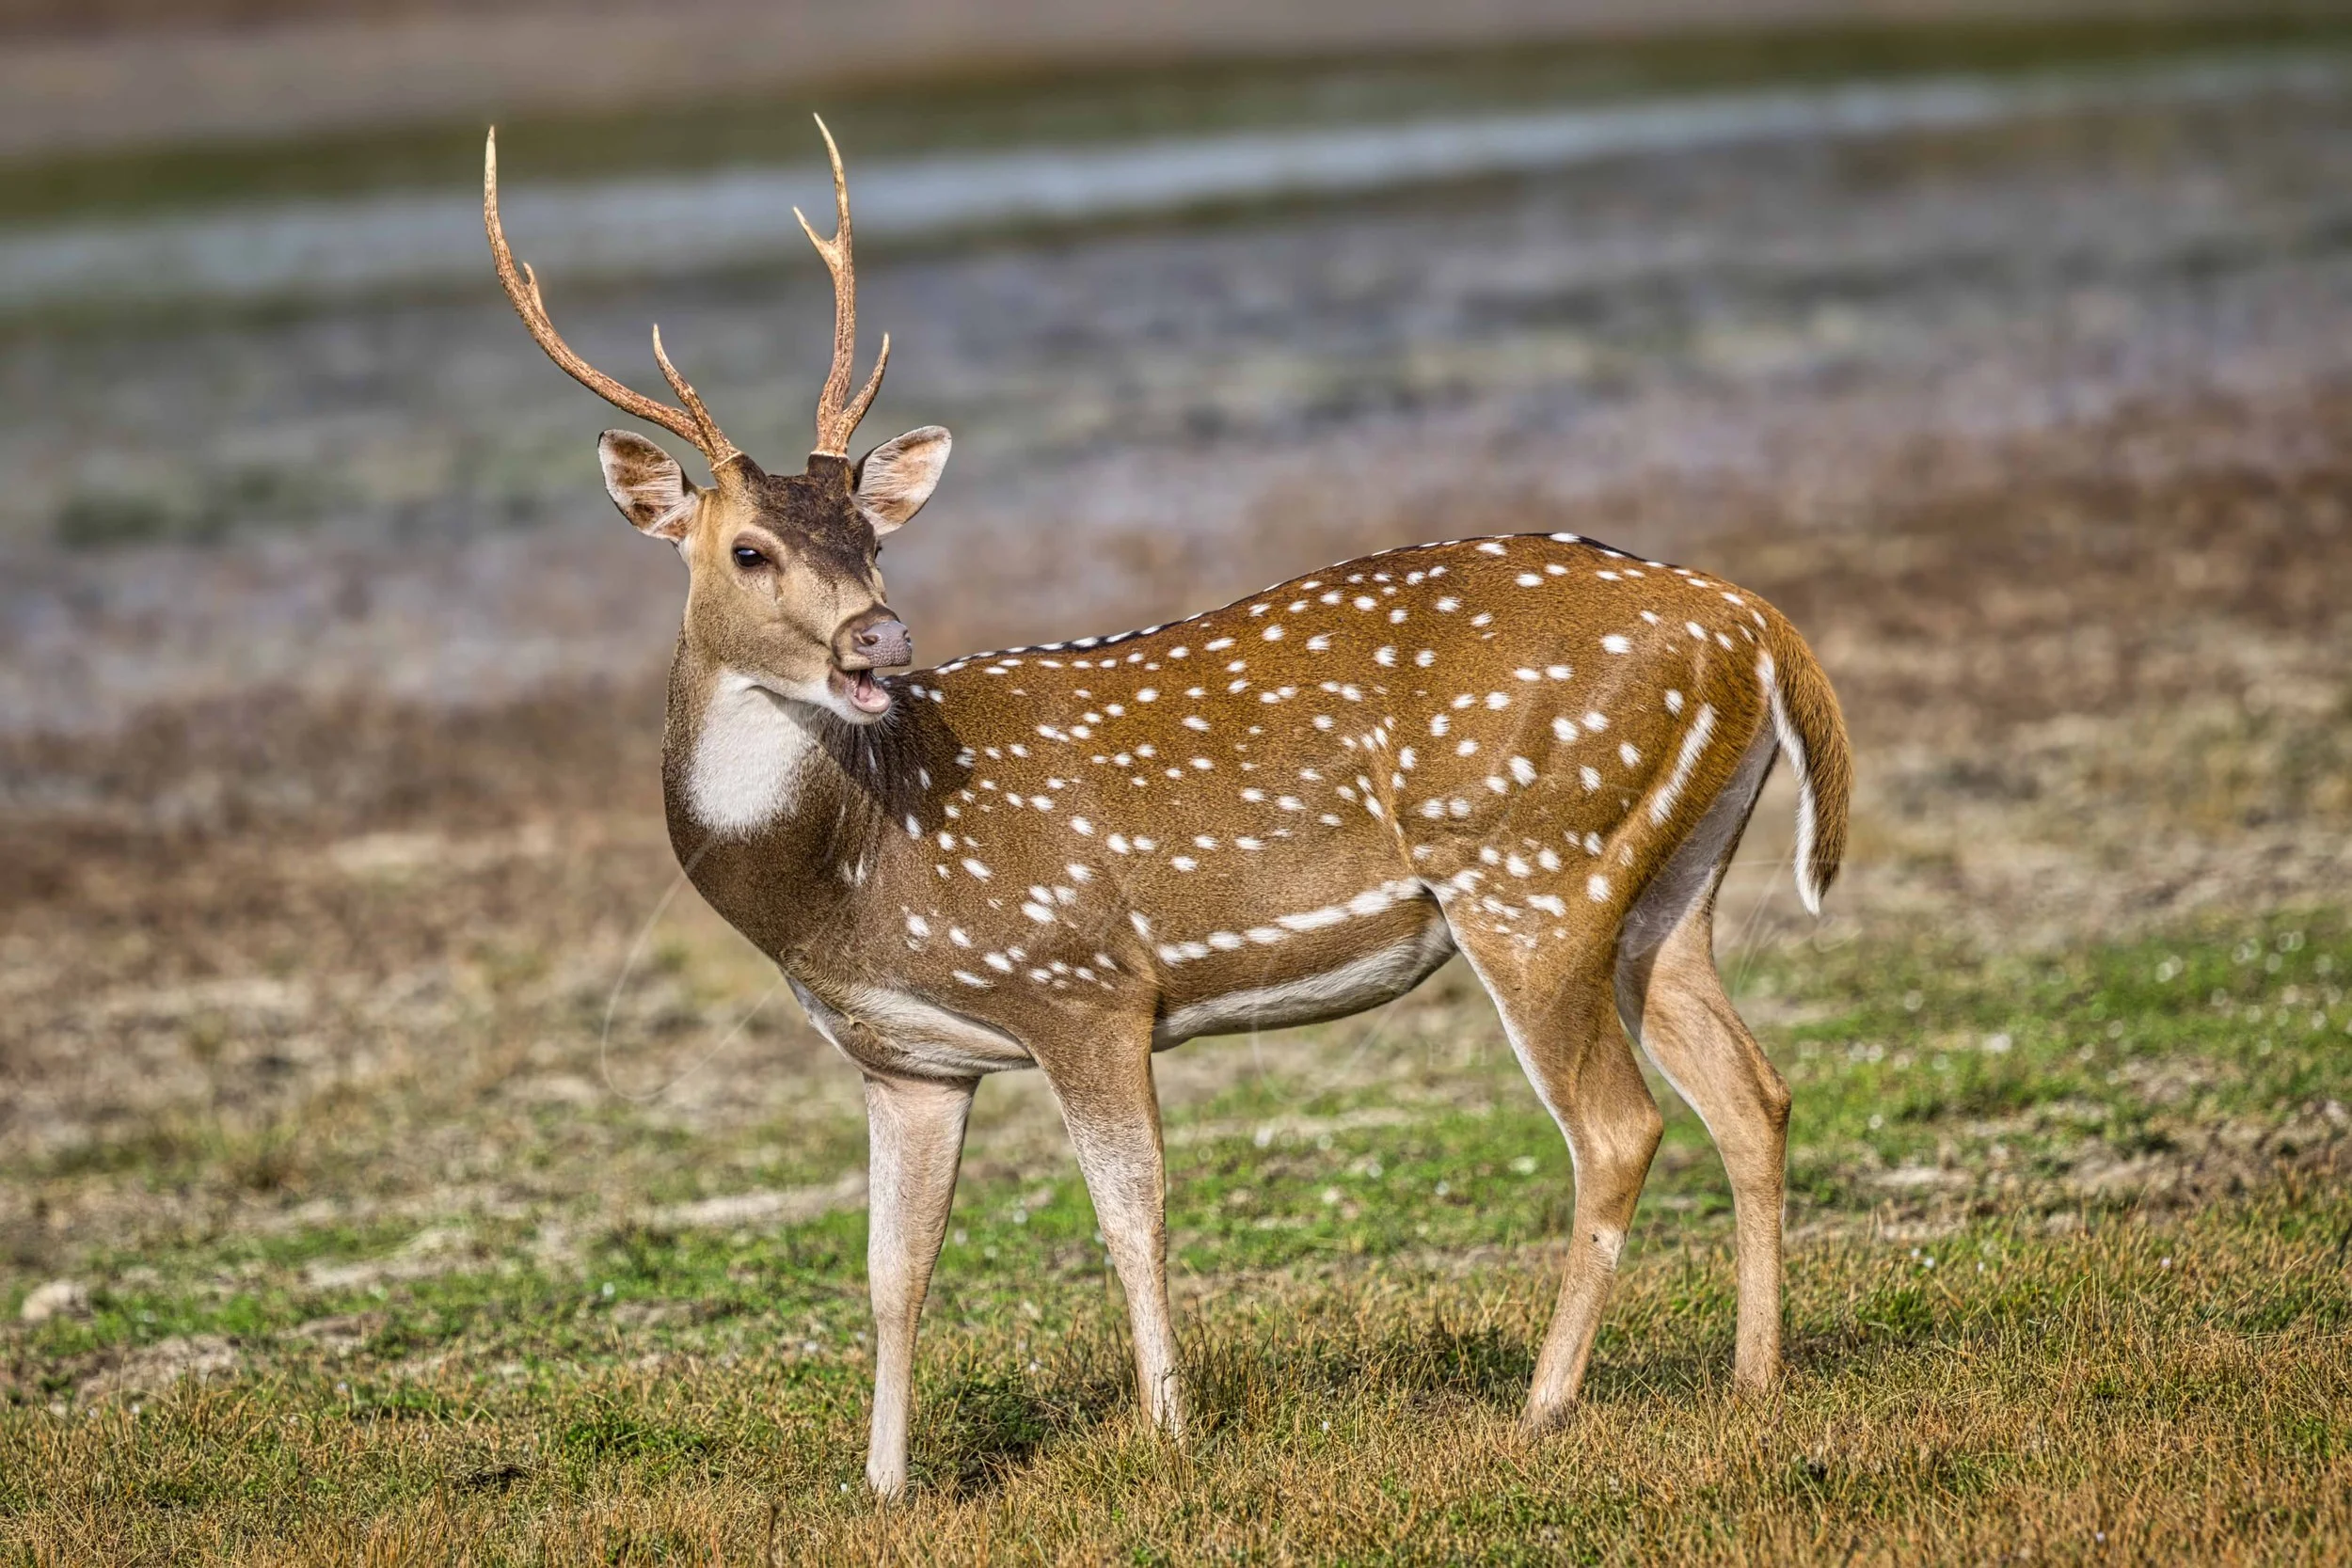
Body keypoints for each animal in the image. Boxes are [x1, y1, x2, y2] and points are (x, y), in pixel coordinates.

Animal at [485, 119, 1851, 1498]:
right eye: (749, 549)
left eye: (872, 540)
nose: (880, 634)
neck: (853, 871)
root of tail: (1750, 620)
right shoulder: (905, 1058)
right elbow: (891, 1270)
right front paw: (884, 1486)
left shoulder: (1082, 978)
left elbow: (1129, 1209)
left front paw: (1167, 1433)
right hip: (1667, 877)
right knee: (1752, 1091)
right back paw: (1752, 1376)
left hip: (1532, 867)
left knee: (1618, 1124)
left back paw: (1544, 1403)